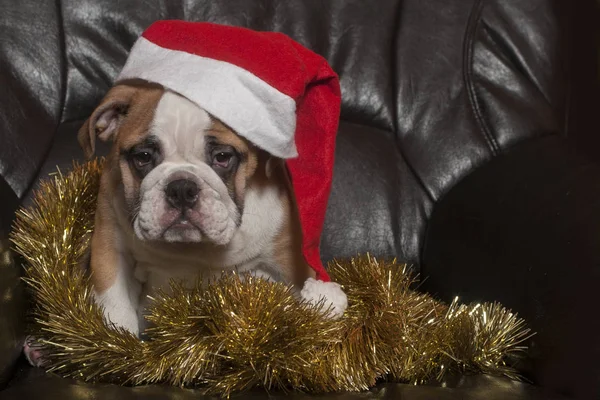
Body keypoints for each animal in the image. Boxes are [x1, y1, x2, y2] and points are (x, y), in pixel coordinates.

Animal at [77, 79, 314, 336]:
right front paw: (117, 341)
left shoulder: (288, 261)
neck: (191, 249)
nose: (181, 188)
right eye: (143, 156)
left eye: (222, 157)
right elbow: (116, 305)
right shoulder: (110, 247)